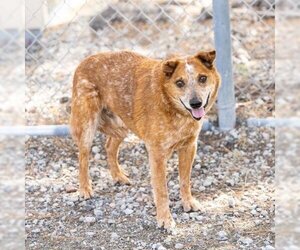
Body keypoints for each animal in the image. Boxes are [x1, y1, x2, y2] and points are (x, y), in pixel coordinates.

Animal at [69, 49, 220, 229]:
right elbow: (162, 191)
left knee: (109, 146)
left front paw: (188, 202)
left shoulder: (189, 147)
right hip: (87, 127)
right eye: (180, 83)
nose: (196, 103)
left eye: (202, 78)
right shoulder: (157, 154)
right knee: (82, 158)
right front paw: (164, 219)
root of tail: (84, 61)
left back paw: (118, 176)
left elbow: (185, 180)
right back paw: (85, 189)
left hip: (122, 126)